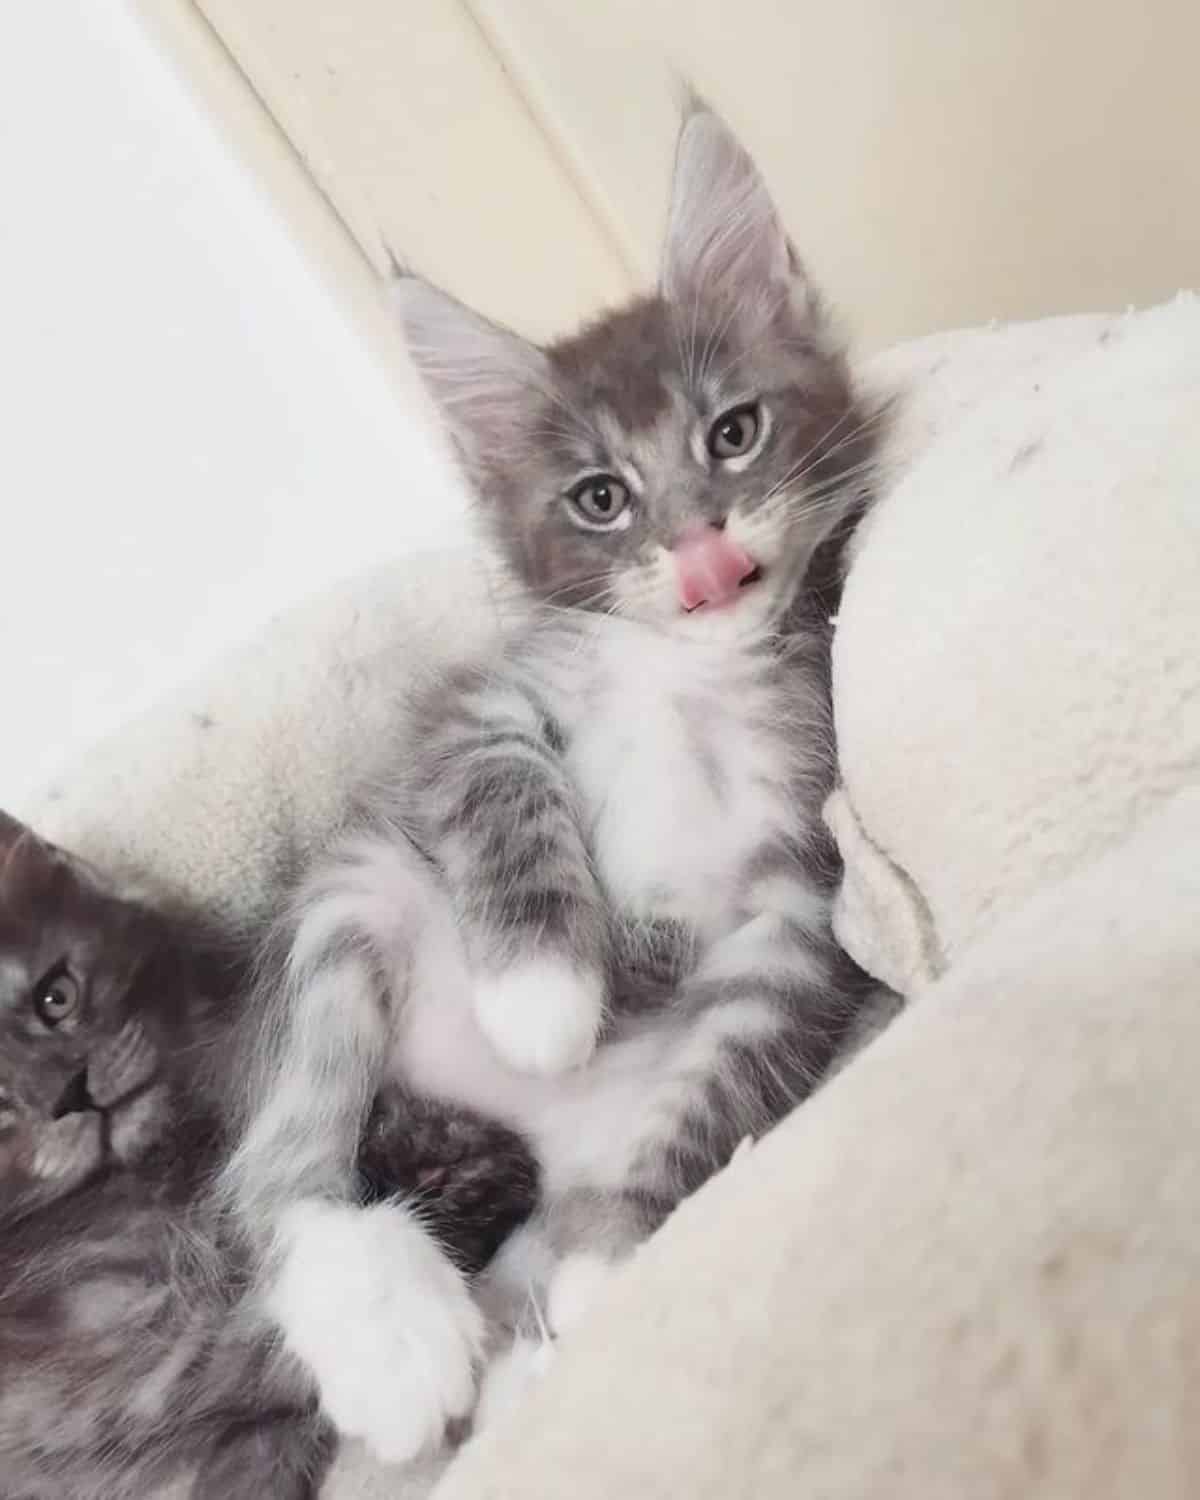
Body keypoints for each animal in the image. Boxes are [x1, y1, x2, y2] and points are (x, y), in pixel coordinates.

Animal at [220, 99, 888, 1458]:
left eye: (732, 433)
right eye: (601, 498)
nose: (697, 552)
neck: (689, 674)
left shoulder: (797, 898)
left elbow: (725, 1076)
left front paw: (608, 1263)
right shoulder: (479, 707)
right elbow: (507, 796)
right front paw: (541, 999)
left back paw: (525, 1362)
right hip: (355, 896)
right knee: (284, 1169)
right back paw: (394, 1349)